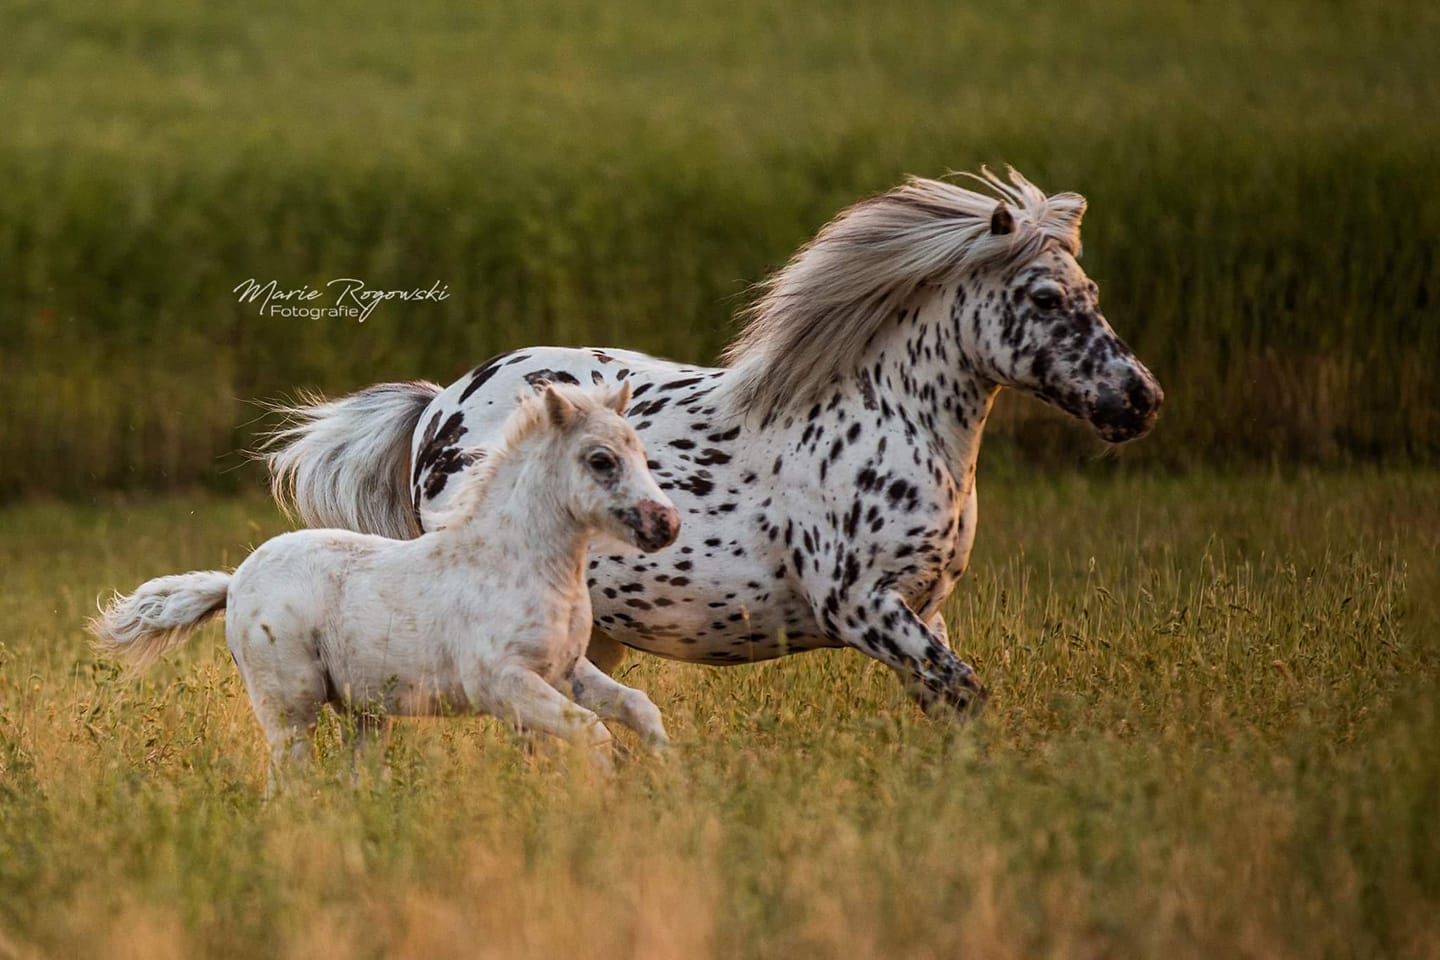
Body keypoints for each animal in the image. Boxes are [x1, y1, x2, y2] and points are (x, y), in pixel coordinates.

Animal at [94, 382, 679, 788]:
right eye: (600, 459)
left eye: (642, 453)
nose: (665, 524)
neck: (514, 564)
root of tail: (234, 581)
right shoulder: (502, 684)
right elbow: (591, 732)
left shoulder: (565, 669)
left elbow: (635, 707)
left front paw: (670, 777)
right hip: (291, 707)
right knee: (290, 781)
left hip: (365, 714)